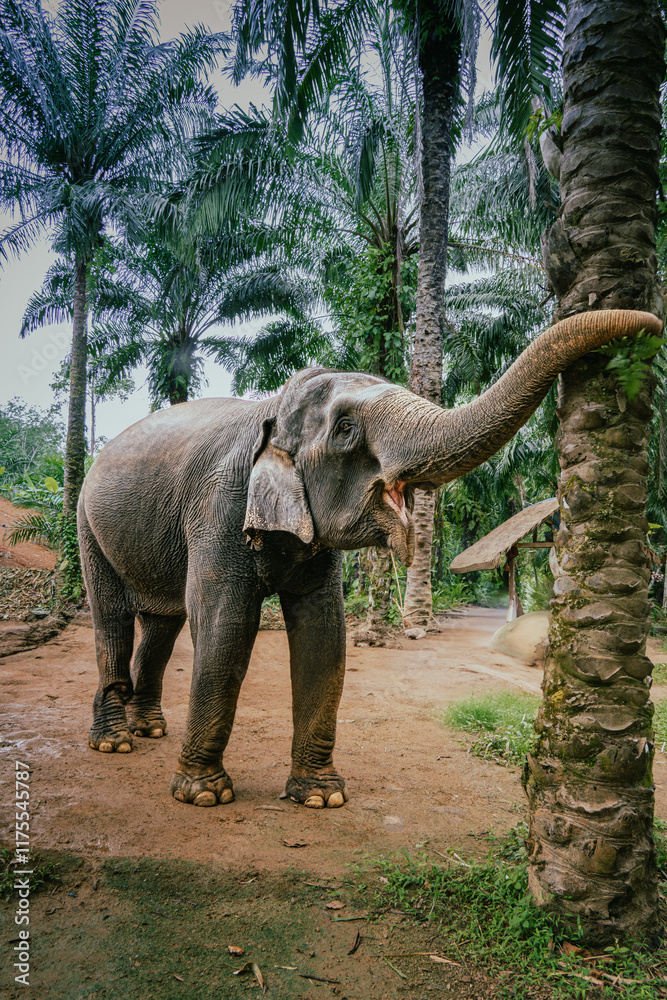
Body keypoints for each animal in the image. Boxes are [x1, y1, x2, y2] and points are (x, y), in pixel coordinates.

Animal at [78, 309, 660, 809]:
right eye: (345, 430)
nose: (652, 325)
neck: (270, 408)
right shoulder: (220, 511)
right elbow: (225, 630)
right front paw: (203, 795)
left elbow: (324, 634)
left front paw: (320, 797)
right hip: (87, 524)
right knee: (113, 619)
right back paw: (114, 742)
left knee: (162, 622)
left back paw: (149, 729)